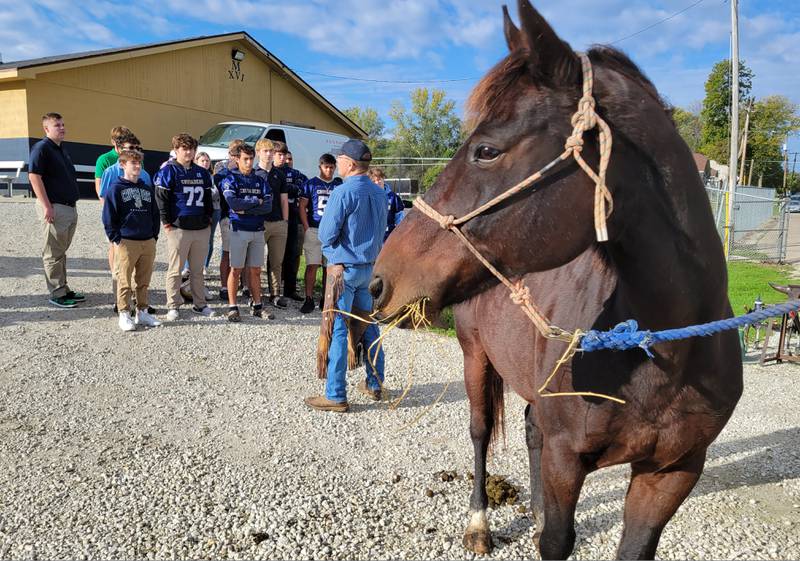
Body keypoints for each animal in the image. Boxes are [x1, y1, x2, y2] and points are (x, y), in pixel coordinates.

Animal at [372, 2, 740, 556]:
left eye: (486, 150)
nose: (381, 279)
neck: (664, 349)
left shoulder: (672, 473)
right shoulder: (568, 460)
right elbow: (556, 539)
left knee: (529, 430)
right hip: (475, 358)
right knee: (480, 431)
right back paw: (479, 524)